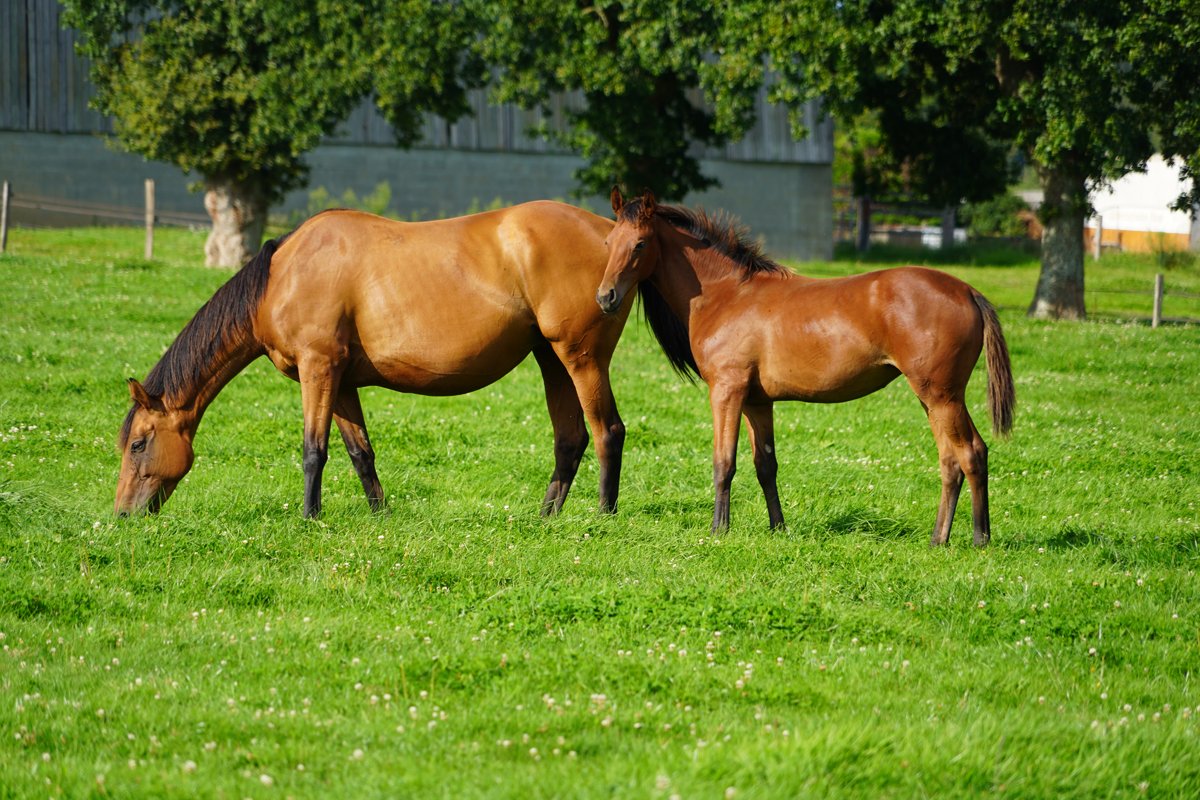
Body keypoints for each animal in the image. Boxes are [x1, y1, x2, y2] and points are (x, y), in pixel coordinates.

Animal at [115, 202, 633, 518]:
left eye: (138, 444)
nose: (123, 514)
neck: (285, 275)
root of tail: (616, 236)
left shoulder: (318, 369)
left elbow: (313, 450)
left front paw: (309, 517)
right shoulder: (341, 380)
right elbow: (359, 453)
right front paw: (380, 514)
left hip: (582, 358)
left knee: (608, 431)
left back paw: (604, 515)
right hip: (552, 360)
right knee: (570, 439)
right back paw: (547, 515)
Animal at [596, 189, 1014, 546]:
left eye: (640, 244)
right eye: (608, 243)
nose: (605, 297)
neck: (726, 294)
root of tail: (968, 292)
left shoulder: (727, 392)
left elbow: (723, 462)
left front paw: (718, 529)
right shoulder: (757, 402)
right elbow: (765, 464)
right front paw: (778, 527)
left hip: (941, 397)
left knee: (968, 454)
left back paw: (976, 539)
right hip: (934, 399)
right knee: (955, 459)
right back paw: (943, 538)